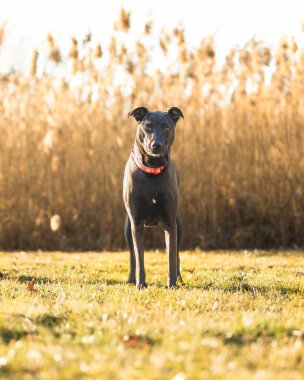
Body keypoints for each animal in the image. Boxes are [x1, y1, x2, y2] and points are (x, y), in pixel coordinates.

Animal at [123, 107, 183, 288]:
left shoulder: (170, 223)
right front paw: (140, 284)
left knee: (176, 255)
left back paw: (179, 279)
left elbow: (171, 258)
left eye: (166, 127)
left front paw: (172, 285)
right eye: (148, 126)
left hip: (179, 226)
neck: (152, 170)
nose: (156, 145)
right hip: (127, 227)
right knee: (132, 257)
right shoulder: (136, 224)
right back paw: (131, 279)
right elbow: (139, 258)